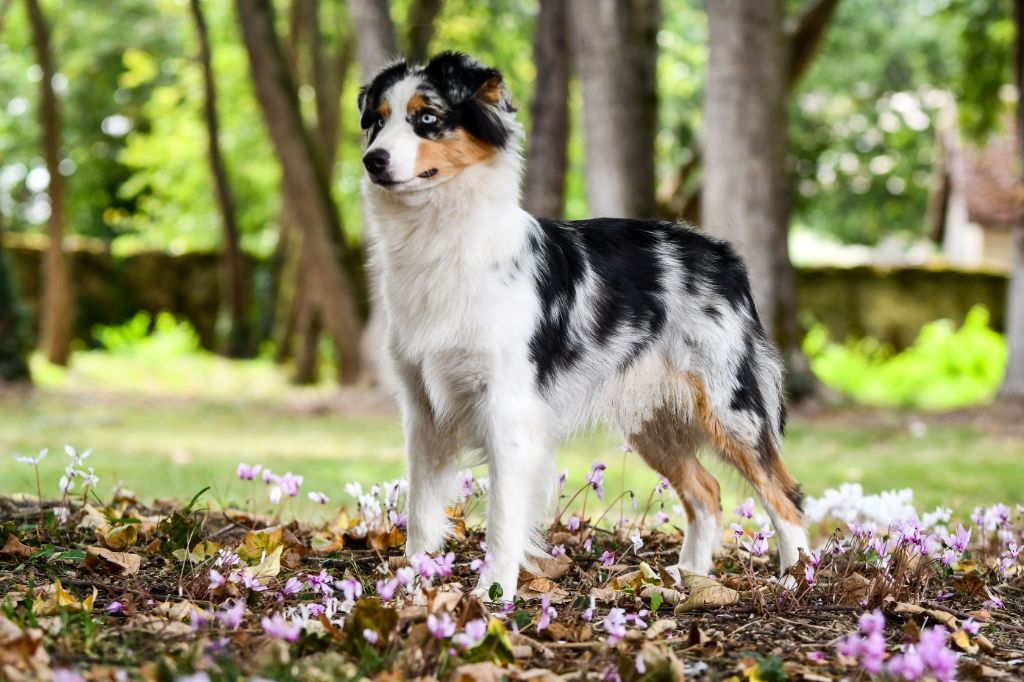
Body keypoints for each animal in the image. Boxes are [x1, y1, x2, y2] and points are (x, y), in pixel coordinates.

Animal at [358, 50, 806, 598]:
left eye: (427, 118)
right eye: (377, 121)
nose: (373, 160)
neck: (442, 235)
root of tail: (723, 254)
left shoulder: (509, 407)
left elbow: (503, 515)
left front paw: (494, 593)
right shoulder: (424, 407)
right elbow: (421, 507)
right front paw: (412, 579)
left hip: (731, 408)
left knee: (785, 495)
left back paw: (797, 577)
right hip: (655, 421)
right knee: (707, 490)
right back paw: (690, 578)